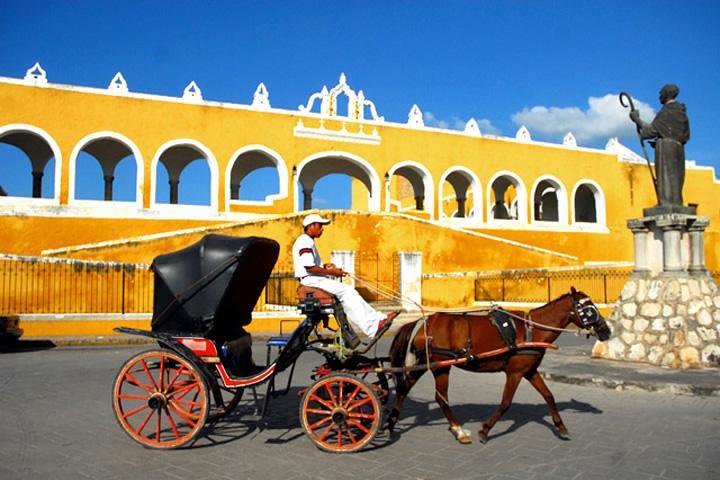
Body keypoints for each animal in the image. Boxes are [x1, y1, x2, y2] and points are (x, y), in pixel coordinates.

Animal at [386, 286, 612, 444]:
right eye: (589, 309)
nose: (606, 331)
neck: (532, 330)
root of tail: (421, 323)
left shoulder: (529, 370)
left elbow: (549, 396)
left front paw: (561, 428)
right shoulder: (515, 373)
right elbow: (505, 403)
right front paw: (484, 430)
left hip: (425, 364)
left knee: (405, 389)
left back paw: (390, 424)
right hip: (441, 365)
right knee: (440, 398)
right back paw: (459, 430)